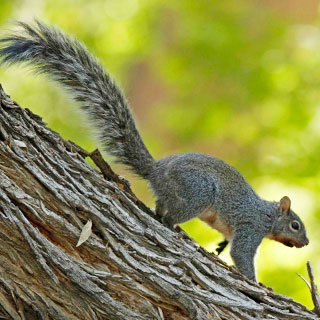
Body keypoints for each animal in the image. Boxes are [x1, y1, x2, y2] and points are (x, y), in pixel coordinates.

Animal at [0, 21, 310, 282]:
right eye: (295, 225)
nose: (306, 242)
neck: (267, 214)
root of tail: (157, 170)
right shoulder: (250, 226)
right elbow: (242, 255)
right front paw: (255, 282)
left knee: (160, 206)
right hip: (197, 192)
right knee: (169, 216)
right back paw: (173, 227)